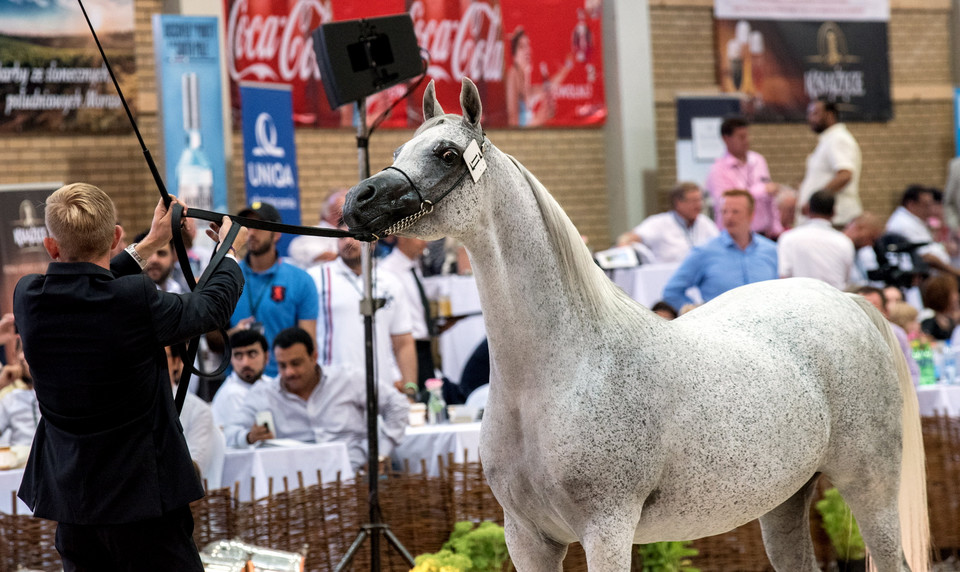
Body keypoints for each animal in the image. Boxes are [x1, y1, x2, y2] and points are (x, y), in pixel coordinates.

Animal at [344, 78, 928, 568]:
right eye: (395, 153)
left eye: (445, 153)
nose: (356, 201)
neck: (559, 373)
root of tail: (843, 299)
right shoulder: (528, 537)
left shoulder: (607, 529)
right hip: (784, 498)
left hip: (871, 484)